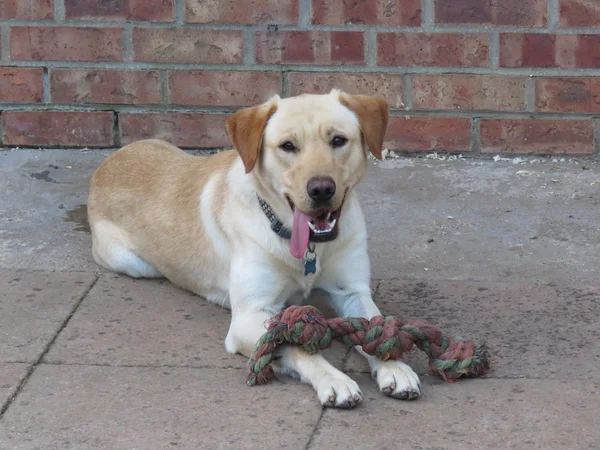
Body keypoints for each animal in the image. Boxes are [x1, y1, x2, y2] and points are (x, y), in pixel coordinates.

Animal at [88, 89, 422, 406]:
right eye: (288, 146)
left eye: (338, 140)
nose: (322, 189)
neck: (308, 249)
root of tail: (106, 163)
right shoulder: (249, 316)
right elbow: (292, 344)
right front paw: (333, 379)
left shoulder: (351, 292)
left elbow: (375, 328)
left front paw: (394, 366)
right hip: (133, 264)